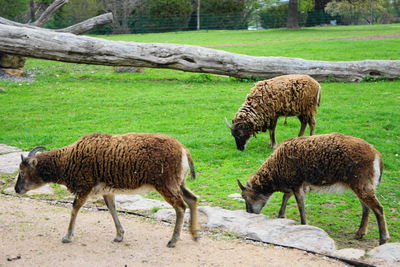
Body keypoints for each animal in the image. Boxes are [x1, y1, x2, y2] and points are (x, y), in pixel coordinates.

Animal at [15, 134, 200, 249]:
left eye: (22, 172)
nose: (17, 189)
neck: (68, 159)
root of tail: (183, 150)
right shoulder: (106, 191)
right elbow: (112, 209)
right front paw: (119, 236)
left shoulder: (84, 186)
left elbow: (75, 208)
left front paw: (67, 236)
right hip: (178, 183)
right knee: (192, 199)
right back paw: (195, 235)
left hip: (166, 184)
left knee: (180, 206)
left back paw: (173, 240)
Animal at [238, 133, 390, 246]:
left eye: (245, 196)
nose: (249, 212)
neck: (276, 170)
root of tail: (377, 156)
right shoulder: (295, 184)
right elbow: (286, 196)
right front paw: (281, 215)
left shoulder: (297, 184)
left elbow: (299, 204)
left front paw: (304, 223)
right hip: (360, 185)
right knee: (366, 207)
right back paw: (359, 234)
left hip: (361, 185)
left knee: (378, 208)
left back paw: (383, 239)